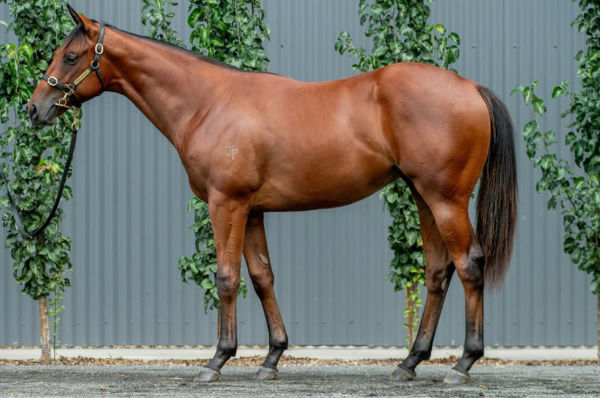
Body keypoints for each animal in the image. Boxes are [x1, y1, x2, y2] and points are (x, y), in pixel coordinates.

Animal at [29, 4, 516, 384]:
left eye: (70, 56)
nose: (35, 109)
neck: (208, 103)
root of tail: (470, 88)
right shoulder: (253, 210)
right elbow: (263, 276)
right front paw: (272, 358)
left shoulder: (226, 204)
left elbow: (227, 277)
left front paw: (217, 360)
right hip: (422, 196)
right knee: (437, 271)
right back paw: (410, 362)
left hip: (445, 199)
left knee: (469, 264)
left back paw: (463, 364)